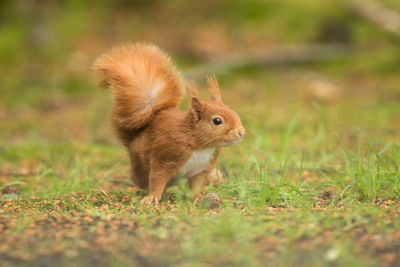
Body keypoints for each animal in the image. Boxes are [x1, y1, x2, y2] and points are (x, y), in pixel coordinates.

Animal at [94, 43, 244, 205]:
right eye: (217, 121)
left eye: (233, 111)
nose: (241, 132)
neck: (200, 145)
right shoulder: (166, 155)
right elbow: (158, 178)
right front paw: (152, 198)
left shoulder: (202, 168)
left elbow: (197, 185)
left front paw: (198, 198)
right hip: (141, 166)